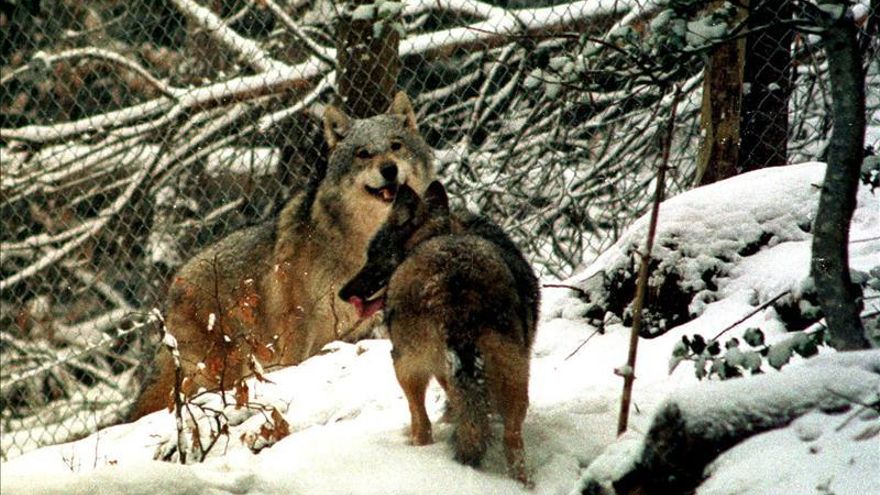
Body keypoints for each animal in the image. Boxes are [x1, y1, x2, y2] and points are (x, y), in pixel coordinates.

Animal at [128, 92, 435, 420]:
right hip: (224, 366)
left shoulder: (353, 328)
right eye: (363, 153)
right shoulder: (297, 322)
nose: (389, 169)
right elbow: (296, 364)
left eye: (396, 146)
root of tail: (173, 286)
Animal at [338, 181, 539, 485]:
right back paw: (522, 483)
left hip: (405, 367)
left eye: (373, 256)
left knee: (422, 425)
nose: (342, 293)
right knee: (512, 440)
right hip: (515, 374)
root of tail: (453, 276)